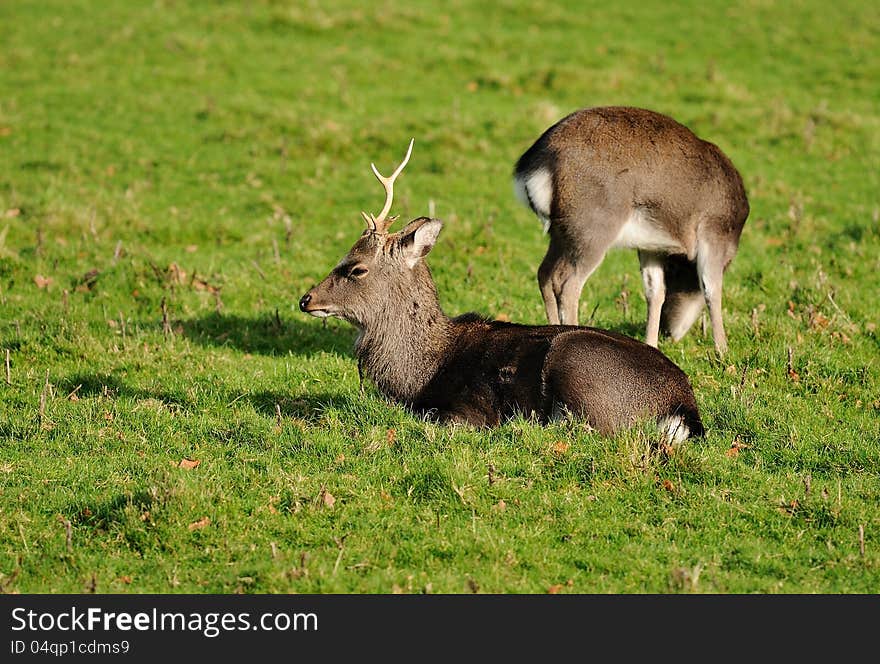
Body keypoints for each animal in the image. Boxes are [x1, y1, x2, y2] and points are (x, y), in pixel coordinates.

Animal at [300, 139, 704, 440]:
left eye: (356, 267)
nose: (306, 299)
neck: (418, 372)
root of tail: (683, 407)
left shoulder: (471, 409)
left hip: (579, 366)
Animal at [516, 107, 748, 358]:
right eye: (679, 275)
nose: (669, 331)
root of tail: (532, 167)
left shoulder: (651, 246)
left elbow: (655, 292)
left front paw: (651, 345)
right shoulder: (715, 231)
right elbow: (712, 290)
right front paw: (723, 351)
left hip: (560, 233)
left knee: (544, 272)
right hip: (593, 227)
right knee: (567, 282)